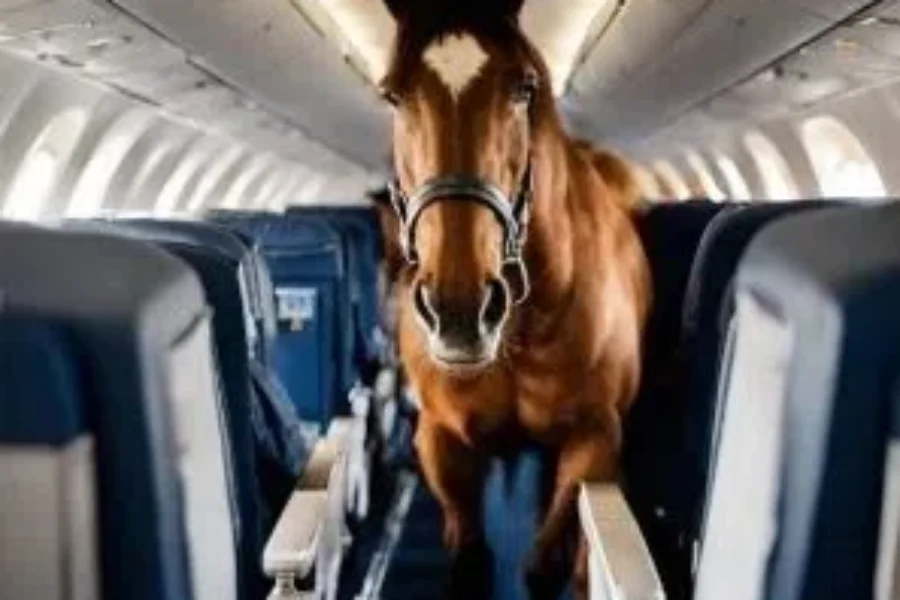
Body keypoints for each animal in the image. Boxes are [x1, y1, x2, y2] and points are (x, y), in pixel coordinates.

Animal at [376, 0, 652, 597]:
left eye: (524, 87)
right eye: (391, 95)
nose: (459, 312)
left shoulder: (595, 440)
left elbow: (543, 564)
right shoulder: (440, 441)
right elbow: (468, 552)